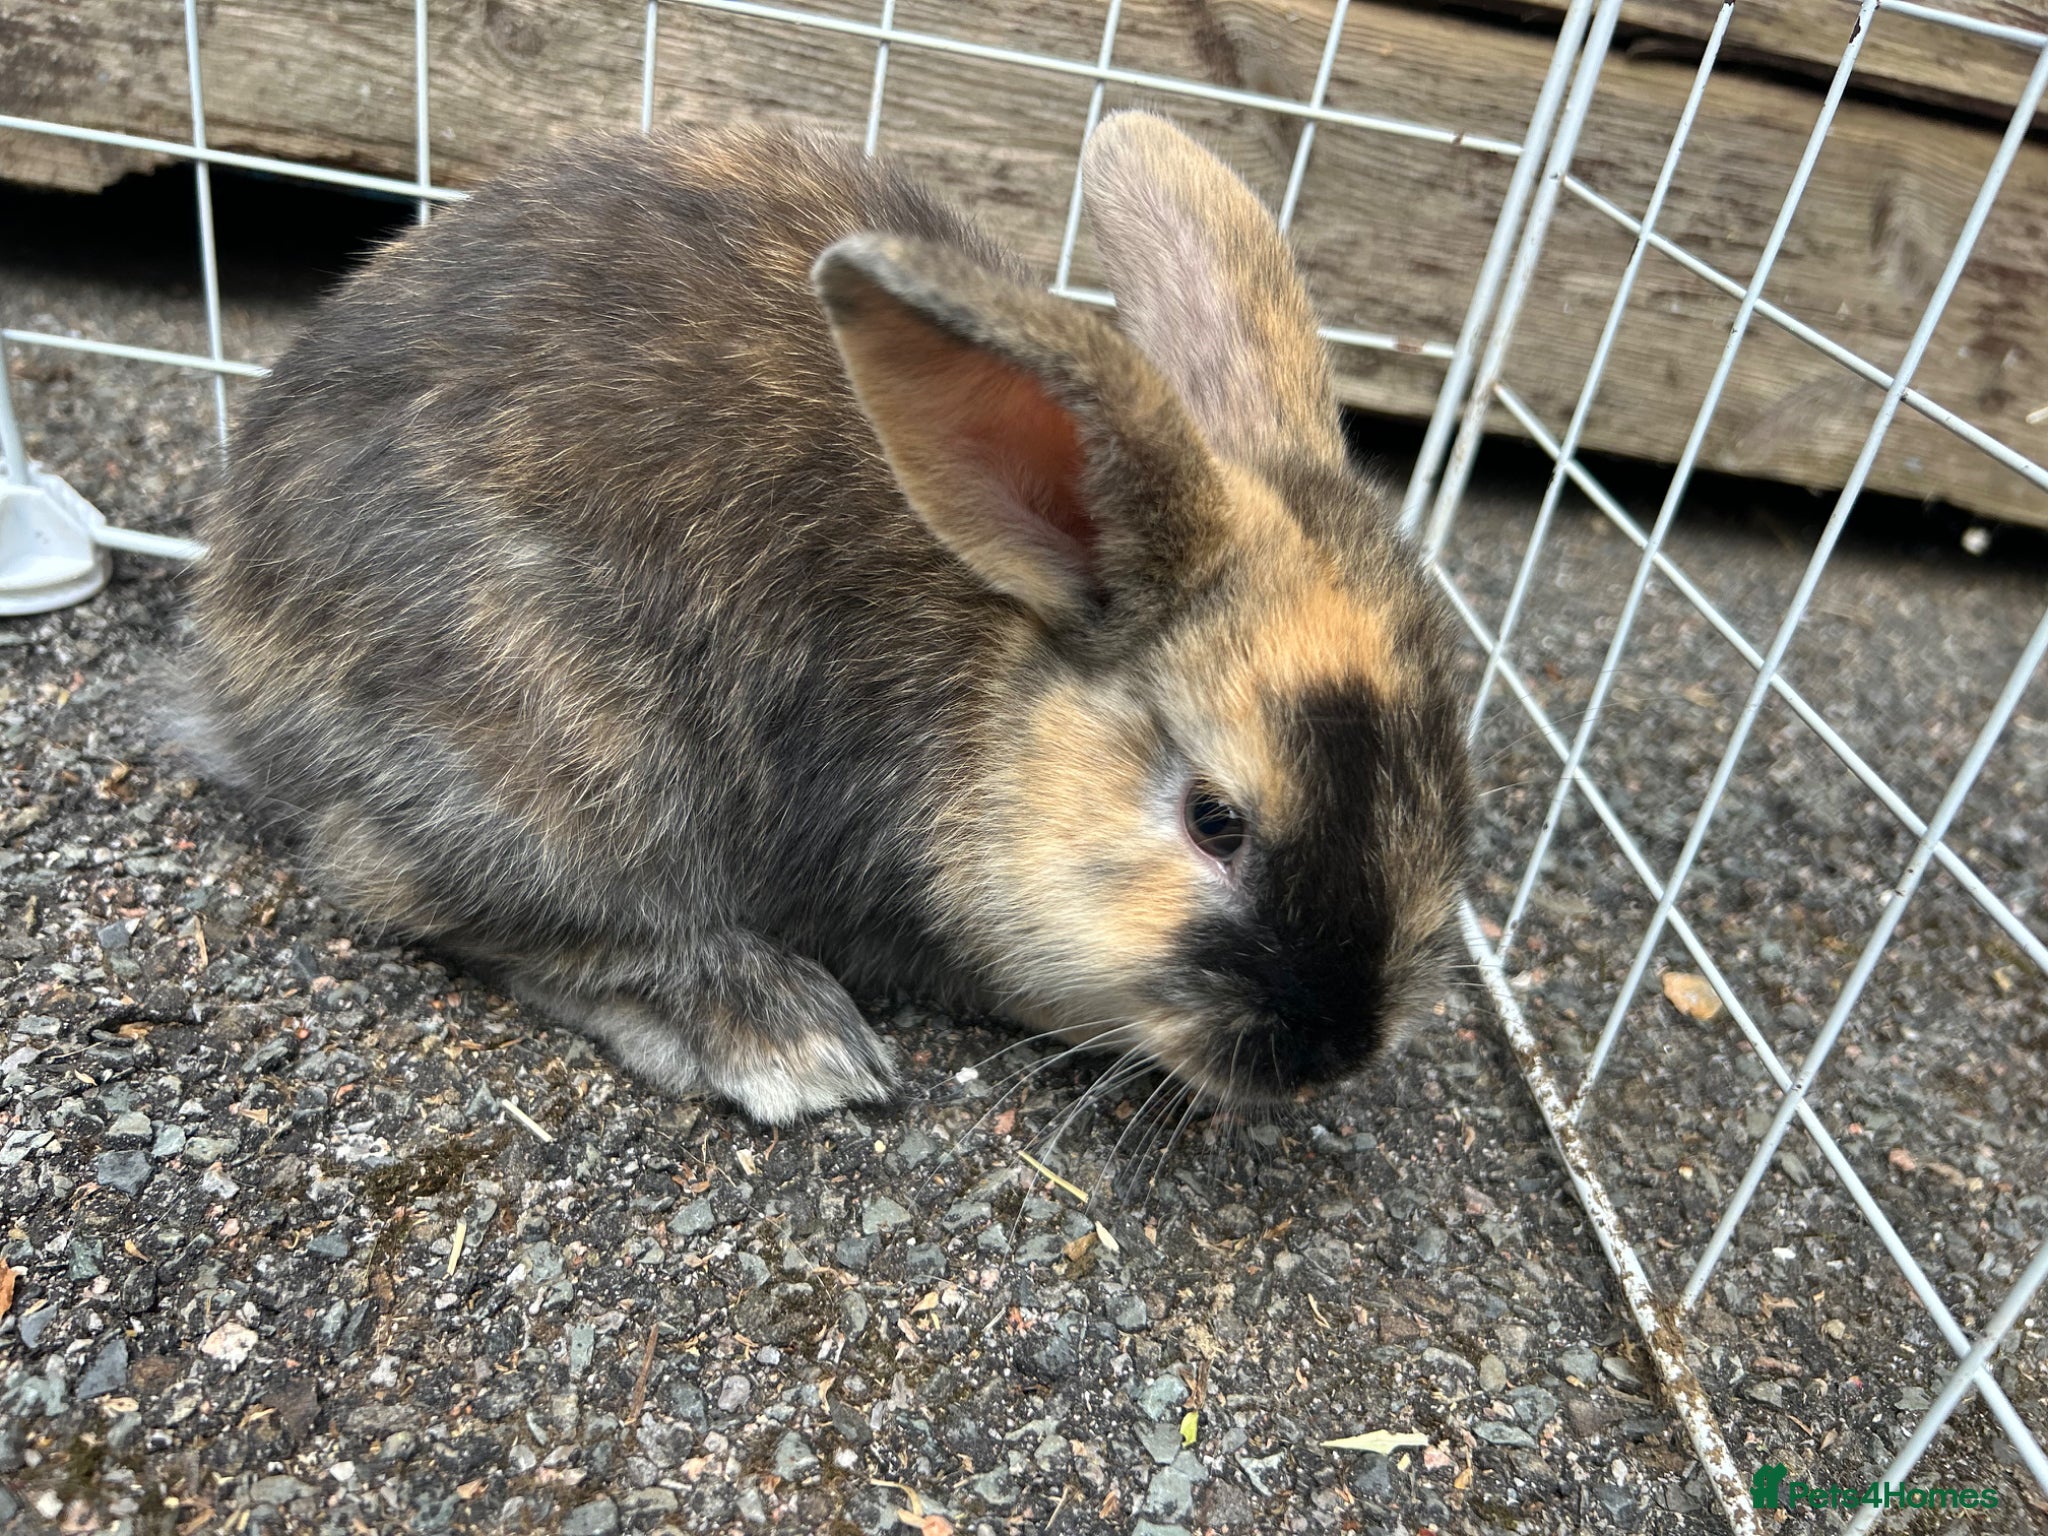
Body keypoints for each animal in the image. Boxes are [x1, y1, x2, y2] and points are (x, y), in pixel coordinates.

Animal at [183, 111, 1474, 1125]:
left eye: (1447, 789)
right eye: (1214, 822)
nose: (1331, 1053)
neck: (998, 688)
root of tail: (233, 645)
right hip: (568, 748)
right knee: (425, 892)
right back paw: (781, 1038)